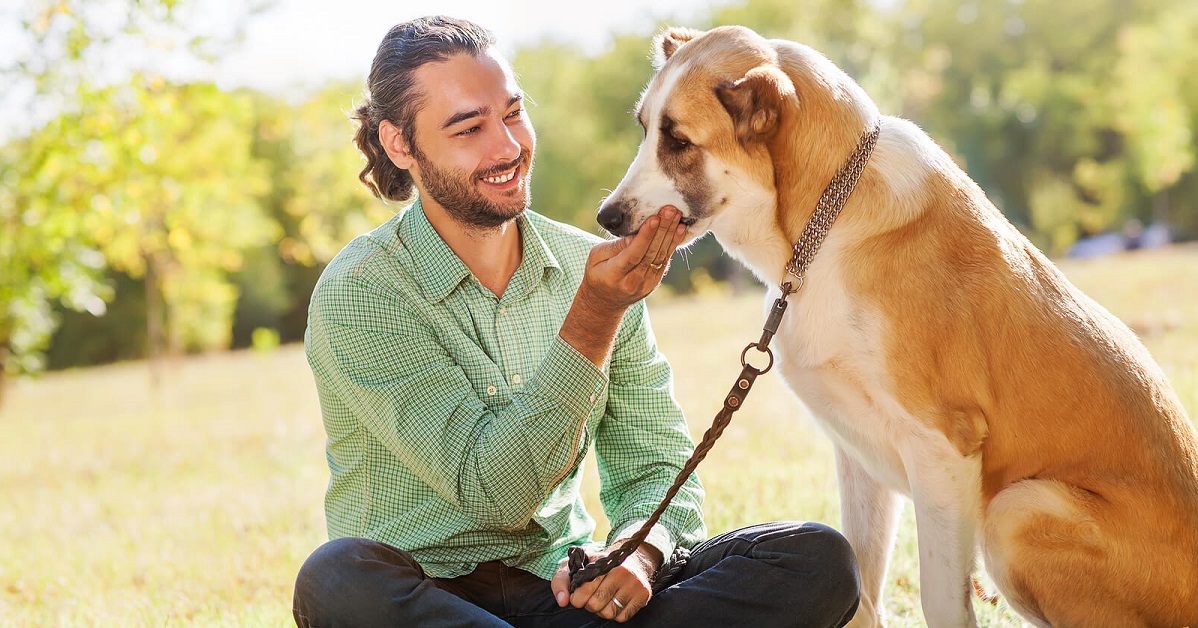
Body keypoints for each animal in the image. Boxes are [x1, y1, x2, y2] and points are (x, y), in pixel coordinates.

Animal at [596, 24, 1198, 628]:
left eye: (679, 141)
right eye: (645, 130)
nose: (606, 217)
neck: (823, 226)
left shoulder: (942, 447)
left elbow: (940, 599)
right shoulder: (857, 453)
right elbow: (862, 589)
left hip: (1016, 509)